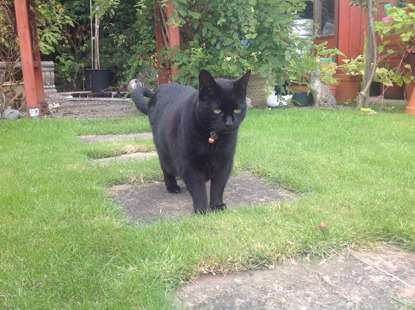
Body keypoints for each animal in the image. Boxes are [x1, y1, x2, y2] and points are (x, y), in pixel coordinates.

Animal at [132, 69, 250, 213]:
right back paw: (172, 187)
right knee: (166, 168)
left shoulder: (225, 162)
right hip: (164, 152)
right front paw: (201, 210)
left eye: (237, 109)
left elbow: (218, 187)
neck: (212, 138)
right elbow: (198, 189)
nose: (229, 123)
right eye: (217, 110)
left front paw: (217, 206)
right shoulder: (189, 164)